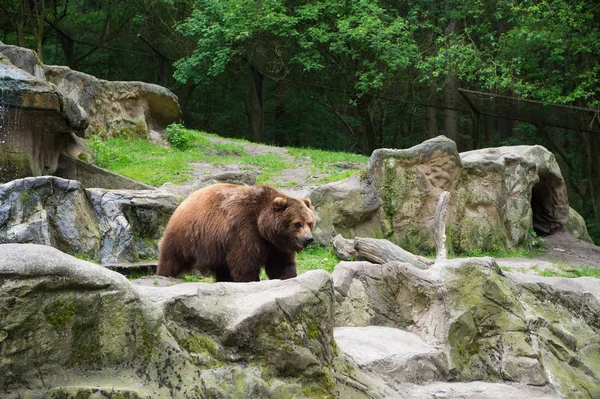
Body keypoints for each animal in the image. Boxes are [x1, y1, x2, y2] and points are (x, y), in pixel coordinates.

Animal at [157, 183, 316, 282]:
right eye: (297, 224)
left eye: (310, 222)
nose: (309, 238)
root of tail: (184, 202)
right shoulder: (244, 231)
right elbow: (245, 263)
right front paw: (250, 280)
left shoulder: (275, 245)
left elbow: (280, 265)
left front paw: (288, 277)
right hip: (186, 237)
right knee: (171, 260)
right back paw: (164, 274)